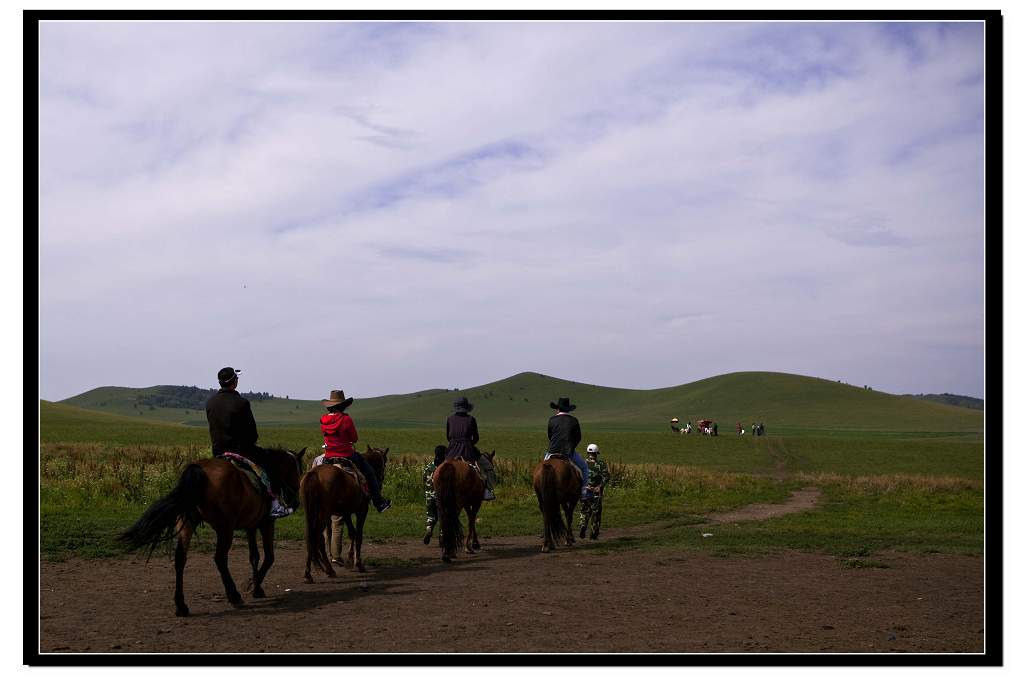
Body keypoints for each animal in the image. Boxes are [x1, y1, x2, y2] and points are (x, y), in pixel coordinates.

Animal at [117, 446, 303, 618]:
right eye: (297, 471)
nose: (295, 501)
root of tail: (199, 469)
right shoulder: (266, 523)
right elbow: (269, 557)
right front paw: (254, 587)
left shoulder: (251, 525)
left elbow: (254, 556)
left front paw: (256, 587)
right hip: (225, 528)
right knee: (219, 558)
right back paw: (234, 596)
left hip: (187, 523)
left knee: (180, 558)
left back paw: (181, 605)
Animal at [303, 444, 387, 577]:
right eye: (385, 463)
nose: (380, 483)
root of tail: (314, 474)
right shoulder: (362, 510)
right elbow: (358, 535)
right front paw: (358, 563)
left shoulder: (345, 512)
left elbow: (352, 533)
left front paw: (350, 558)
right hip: (322, 514)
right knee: (318, 538)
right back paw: (328, 569)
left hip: (312, 514)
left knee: (316, 537)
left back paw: (314, 571)